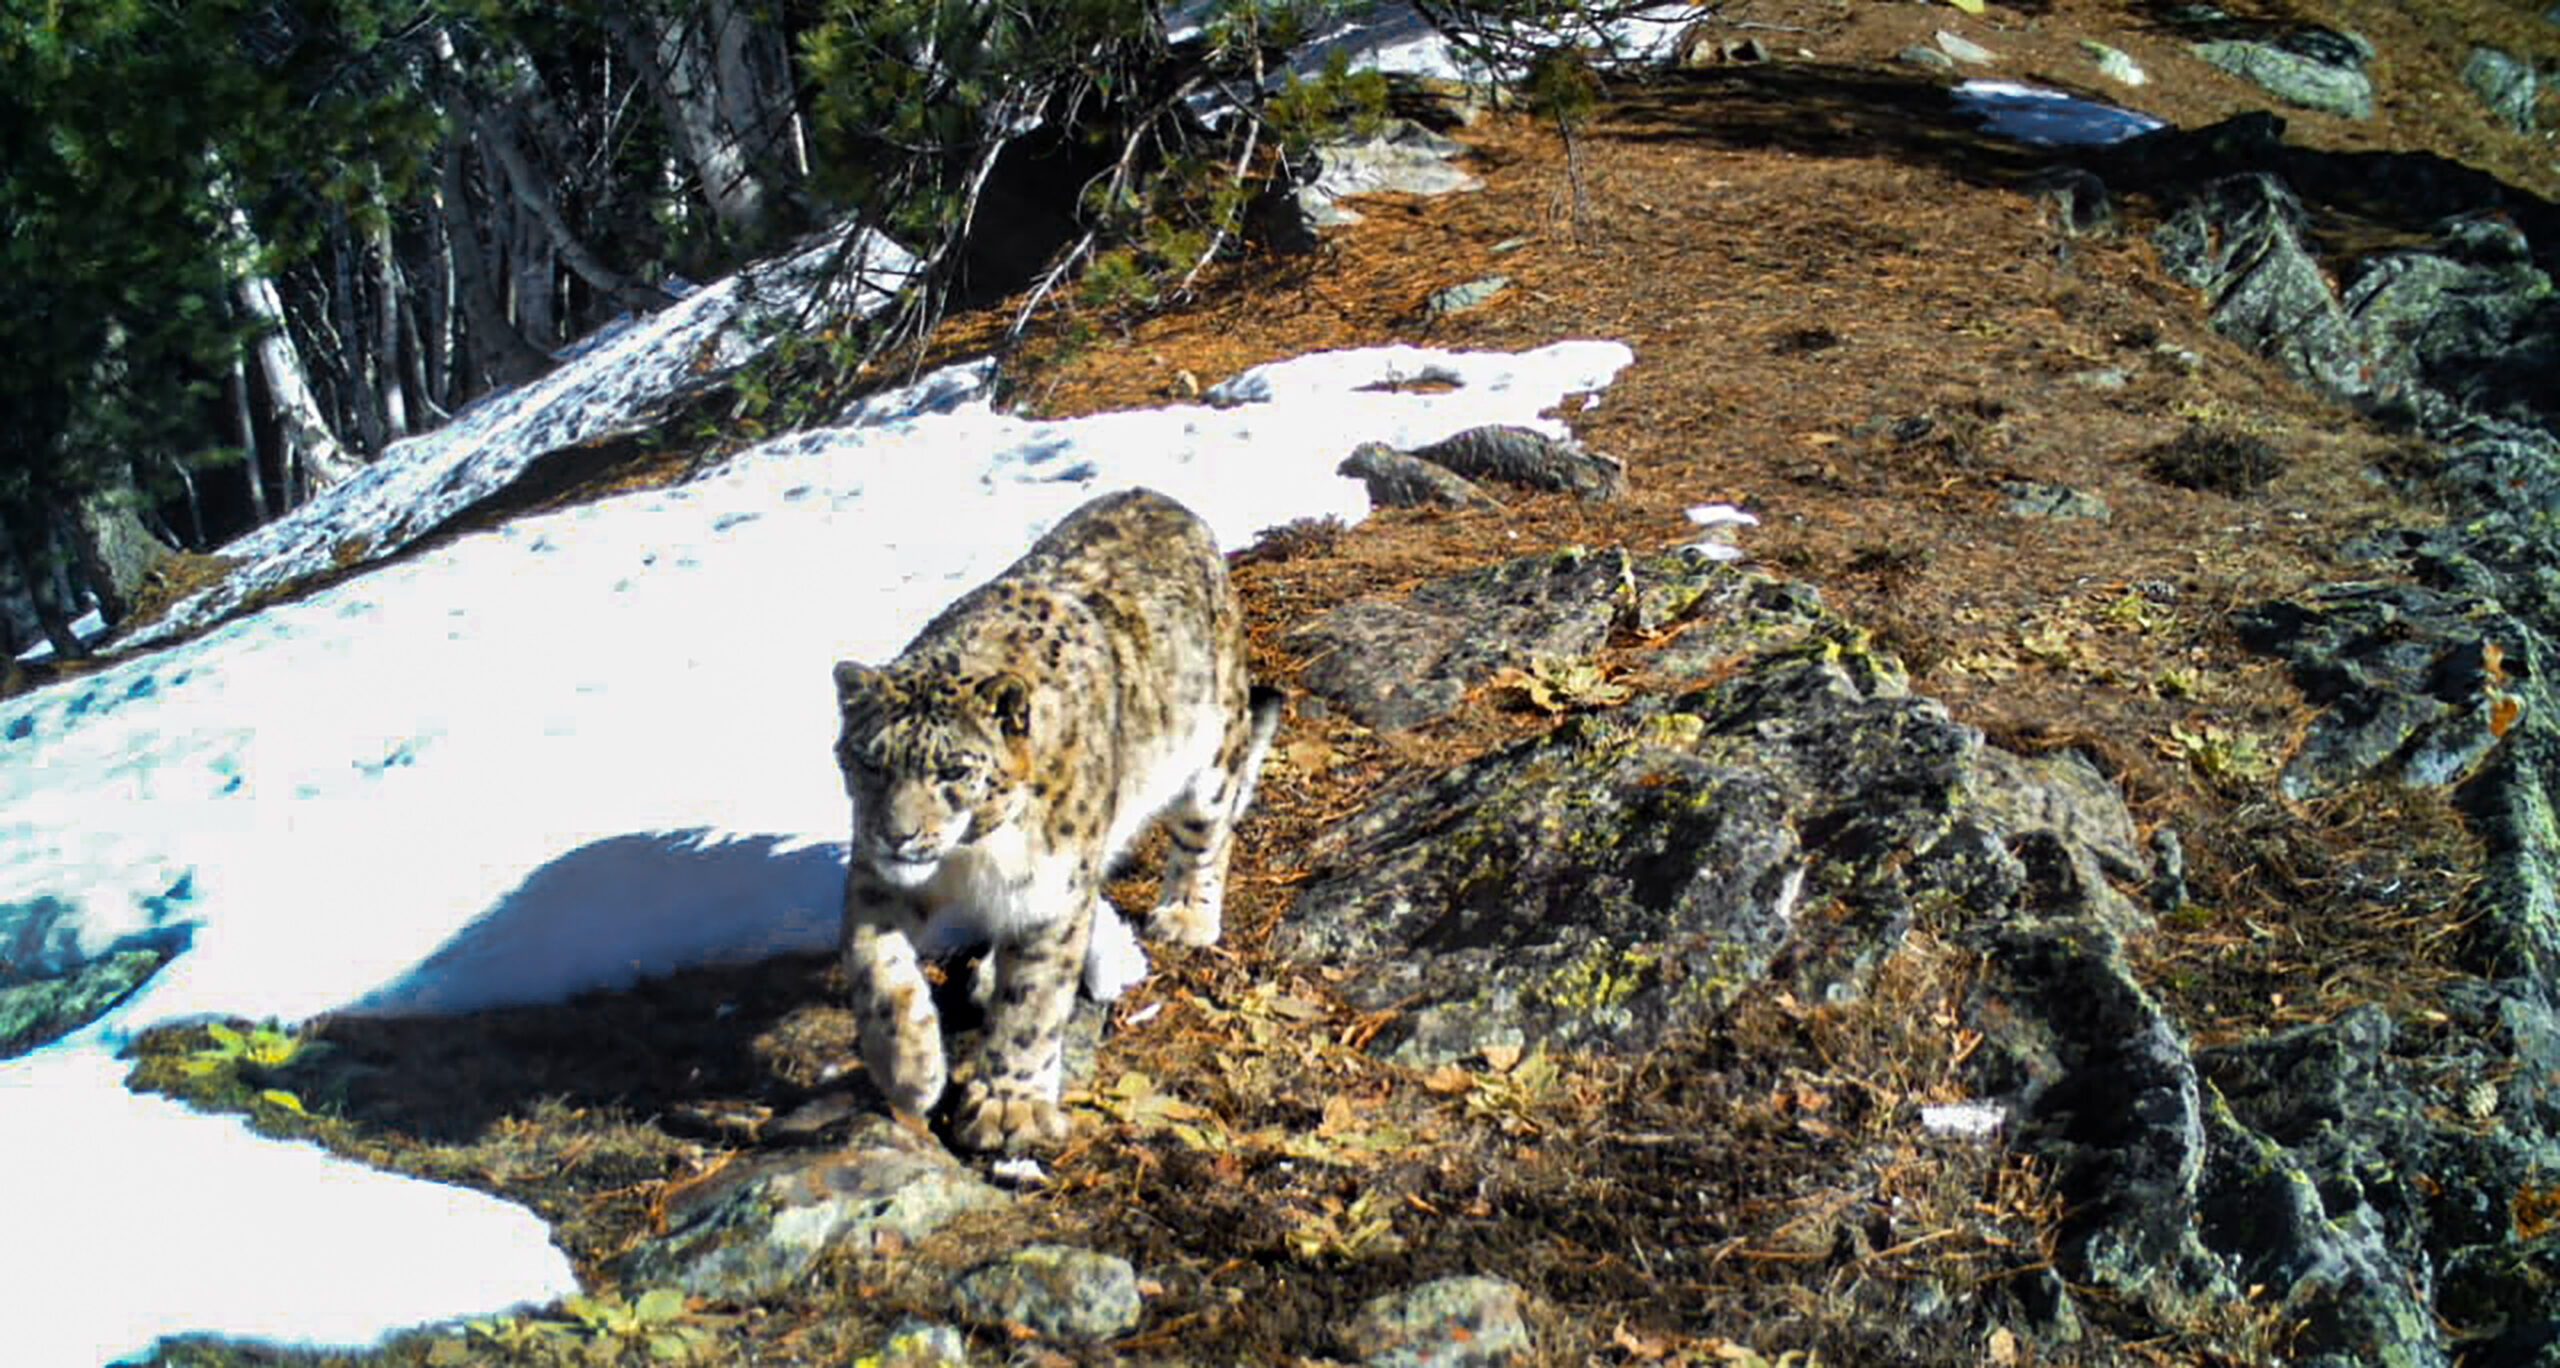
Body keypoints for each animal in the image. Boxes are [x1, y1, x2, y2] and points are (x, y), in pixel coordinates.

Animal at [834, 494, 1280, 1157]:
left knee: (1207, 835)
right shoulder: (872, 878)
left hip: (1211, 754)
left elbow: (1033, 1004)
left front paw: (1007, 1107)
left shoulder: (1048, 891)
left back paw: (1186, 916)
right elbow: (875, 966)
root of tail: (1160, 500)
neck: (970, 858)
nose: (898, 835)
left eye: (954, 769)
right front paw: (909, 1071)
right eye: (868, 760)